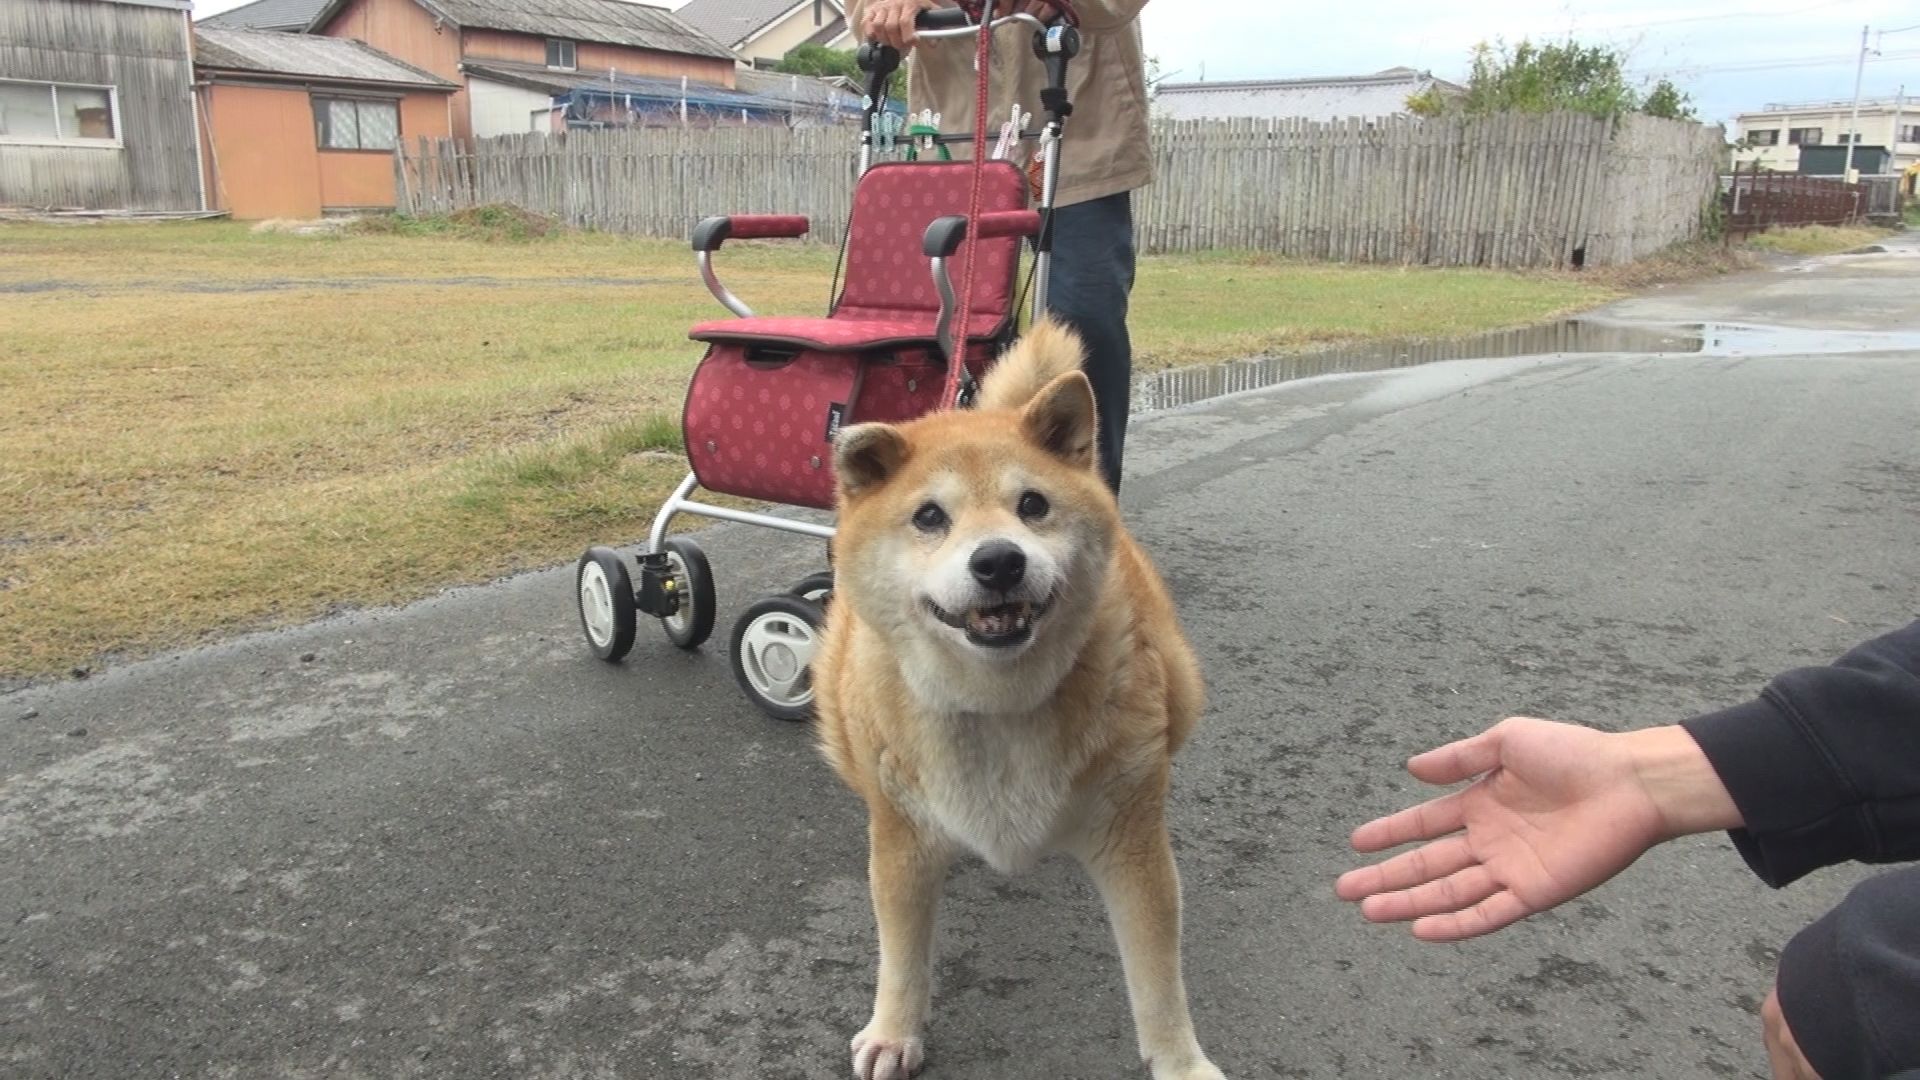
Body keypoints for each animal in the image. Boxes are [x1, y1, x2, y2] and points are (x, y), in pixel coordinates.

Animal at [814, 319, 1228, 1076]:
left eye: (1032, 505)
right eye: (929, 517)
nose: (999, 560)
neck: (998, 705)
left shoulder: (1133, 846)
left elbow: (1158, 976)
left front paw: (1179, 1062)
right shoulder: (903, 840)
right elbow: (901, 954)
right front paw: (894, 1030)